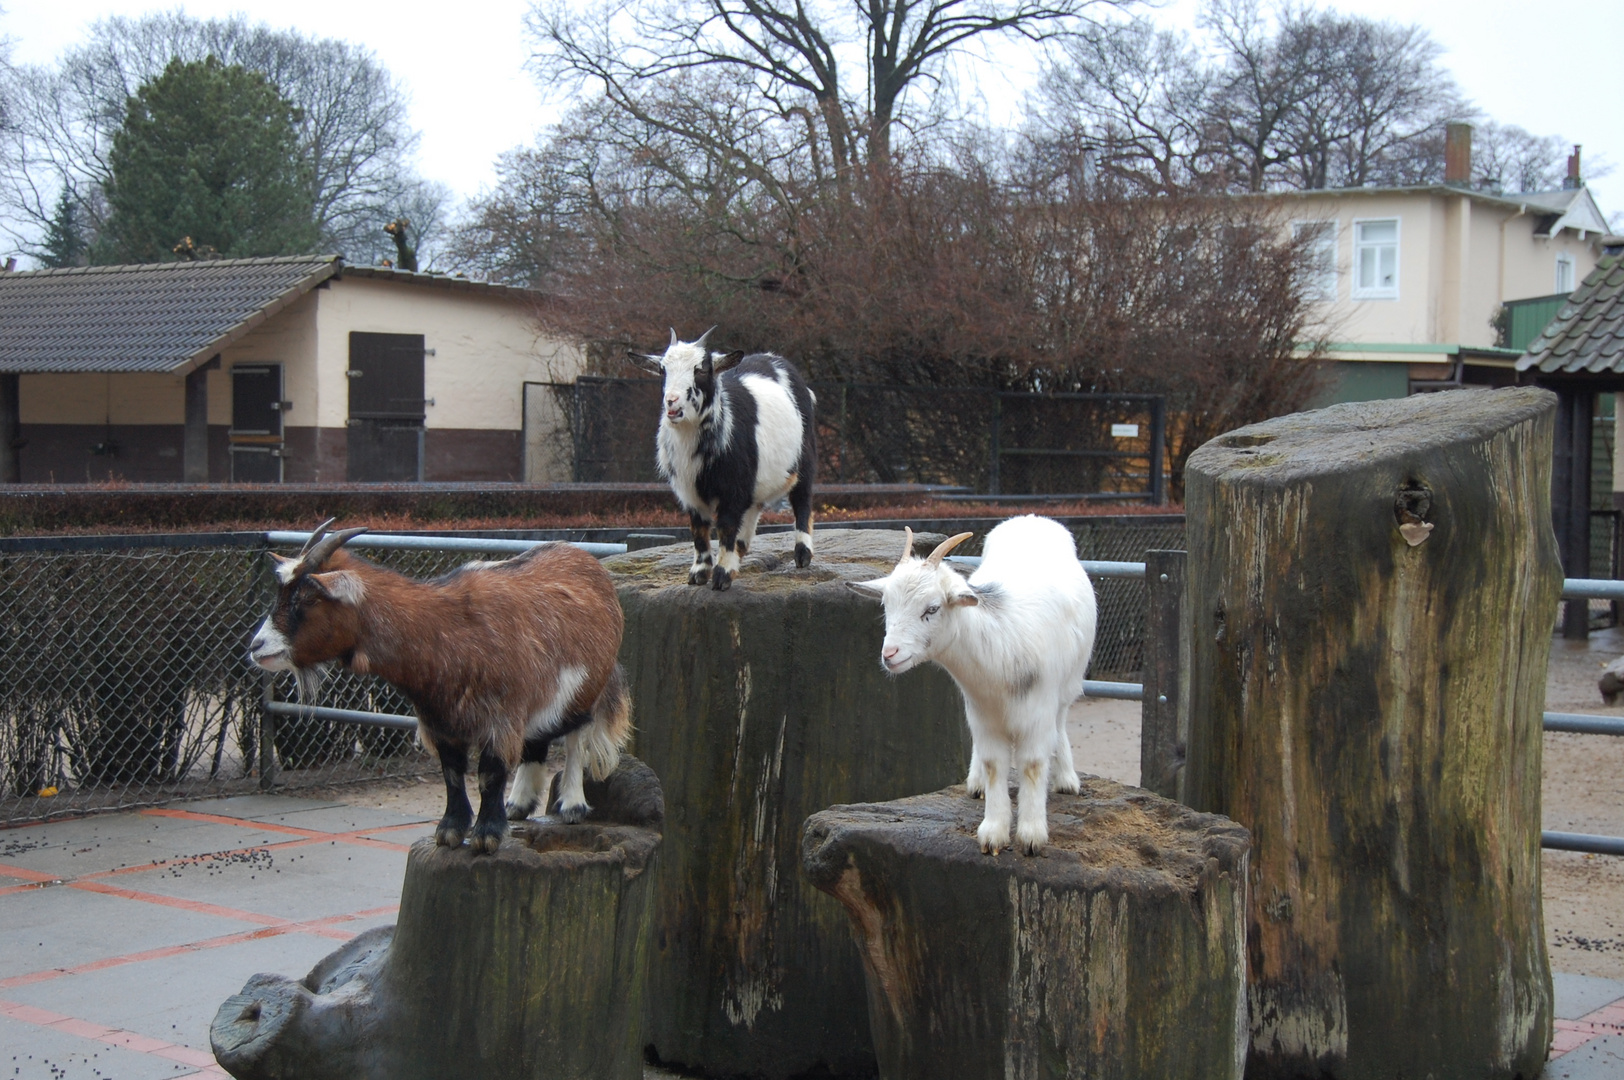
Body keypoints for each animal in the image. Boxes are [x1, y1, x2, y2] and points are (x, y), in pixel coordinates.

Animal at [245, 526, 626, 857]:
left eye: (309, 598)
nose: (256, 646)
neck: (444, 631)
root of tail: (590, 564)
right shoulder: (441, 722)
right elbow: (452, 774)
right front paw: (450, 831)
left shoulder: (500, 718)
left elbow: (489, 774)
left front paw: (486, 836)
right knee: (536, 741)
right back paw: (518, 804)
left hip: (586, 689)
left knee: (577, 738)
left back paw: (572, 805)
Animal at [633, 326, 812, 591]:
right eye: (662, 369)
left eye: (701, 369)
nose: (672, 401)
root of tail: (775, 359)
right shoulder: (690, 491)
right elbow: (698, 530)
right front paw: (699, 573)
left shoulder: (732, 488)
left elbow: (726, 526)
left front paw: (722, 575)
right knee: (754, 506)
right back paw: (741, 547)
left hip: (805, 458)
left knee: (802, 500)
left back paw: (802, 554)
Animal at [844, 513, 1097, 851]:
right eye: (886, 605)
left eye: (932, 608)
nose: (890, 654)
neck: (1000, 644)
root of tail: (1030, 518)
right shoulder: (982, 713)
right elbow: (993, 764)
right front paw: (993, 832)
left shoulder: (1037, 711)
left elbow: (1032, 764)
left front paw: (1031, 835)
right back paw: (976, 782)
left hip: (1066, 686)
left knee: (1061, 720)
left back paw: (1066, 778)